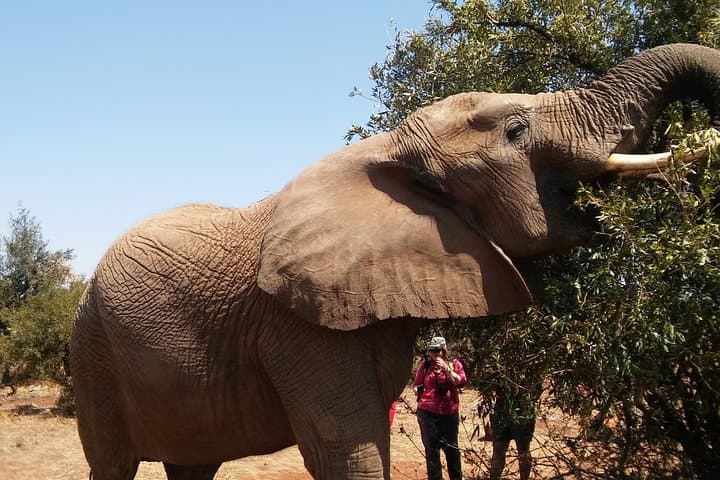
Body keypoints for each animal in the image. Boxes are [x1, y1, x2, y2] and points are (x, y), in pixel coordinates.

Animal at [70, 43, 720, 480]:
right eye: (515, 131)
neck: (385, 151)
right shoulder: (296, 325)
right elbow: (344, 450)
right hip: (92, 350)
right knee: (113, 462)